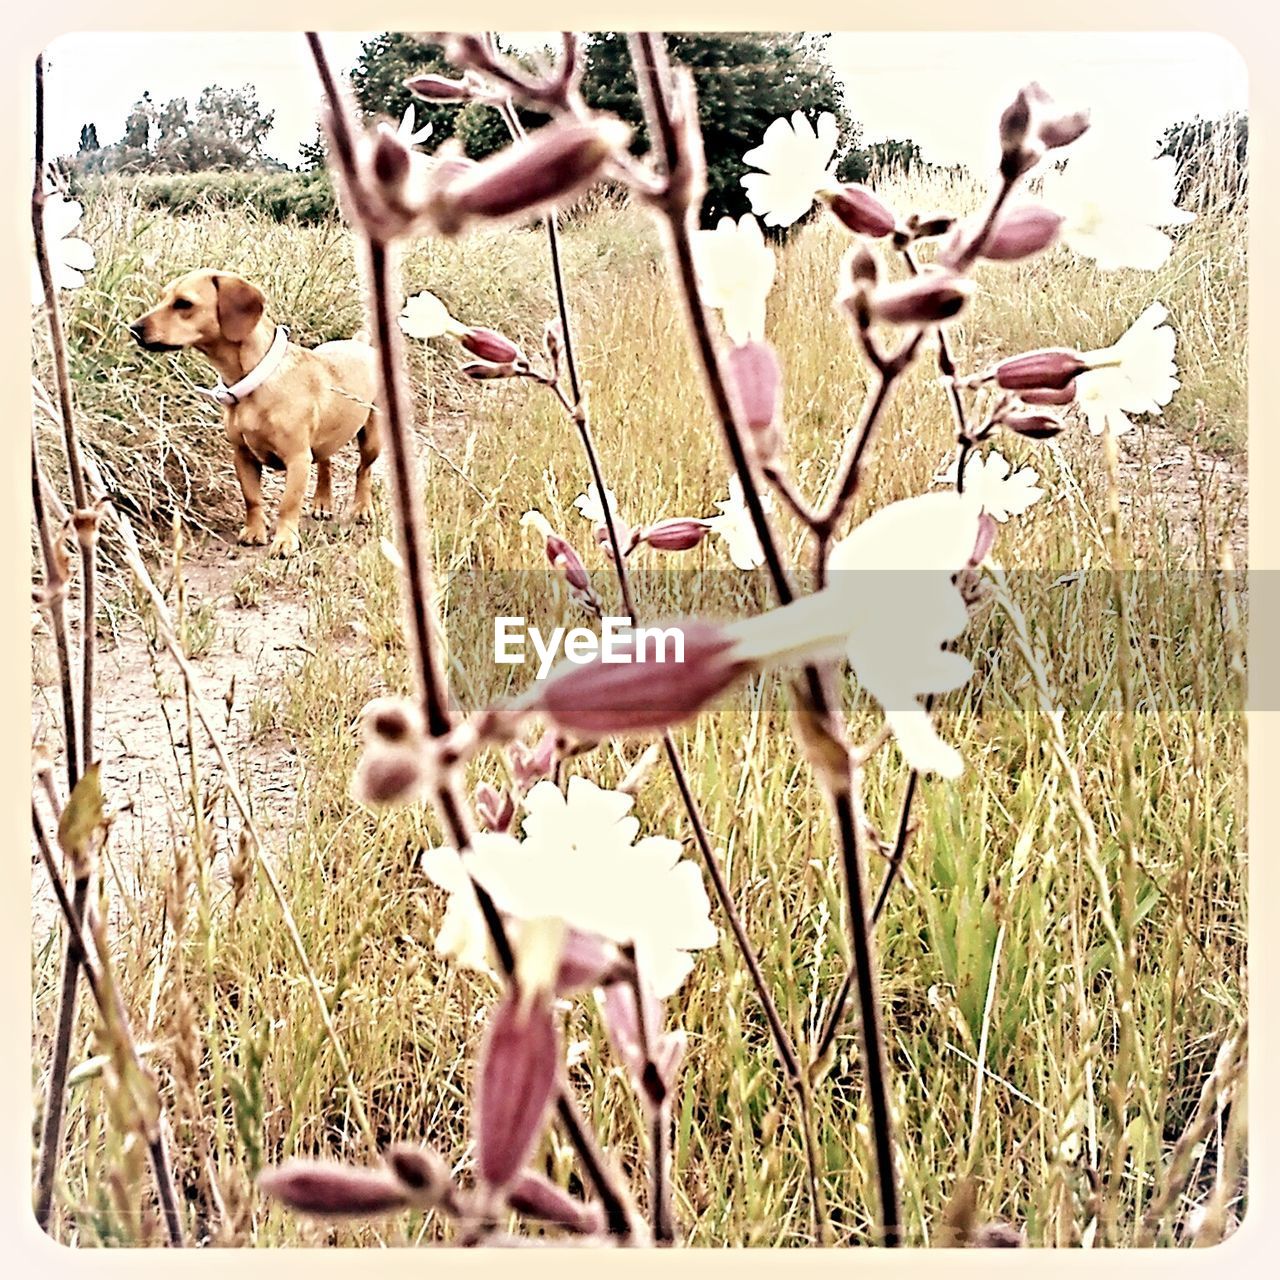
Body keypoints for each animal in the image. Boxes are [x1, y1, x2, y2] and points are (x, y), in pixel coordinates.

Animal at [131, 272, 378, 558]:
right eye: (162, 298)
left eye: (184, 303)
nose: (134, 328)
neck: (255, 378)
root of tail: (359, 343)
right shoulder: (243, 456)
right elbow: (252, 498)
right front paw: (254, 531)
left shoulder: (297, 459)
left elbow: (288, 504)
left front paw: (284, 541)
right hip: (322, 442)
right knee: (326, 463)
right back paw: (322, 502)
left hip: (372, 441)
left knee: (363, 470)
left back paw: (362, 508)